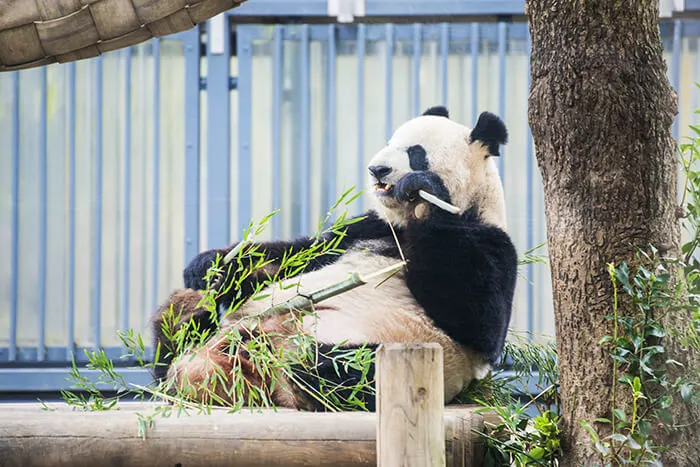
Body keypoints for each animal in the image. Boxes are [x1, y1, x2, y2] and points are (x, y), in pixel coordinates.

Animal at [150, 105, 516, 410]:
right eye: (389, 141)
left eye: (415, 153)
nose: (377, 168)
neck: (401, 224)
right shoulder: (364, 228)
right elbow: (295, 255)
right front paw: (210, 264)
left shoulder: (490, 240)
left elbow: (478, 317)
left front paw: (423, 190)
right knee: (178, 350)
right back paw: (180, 315)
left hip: (384, 344)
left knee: (342, 369)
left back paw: (289, 360)